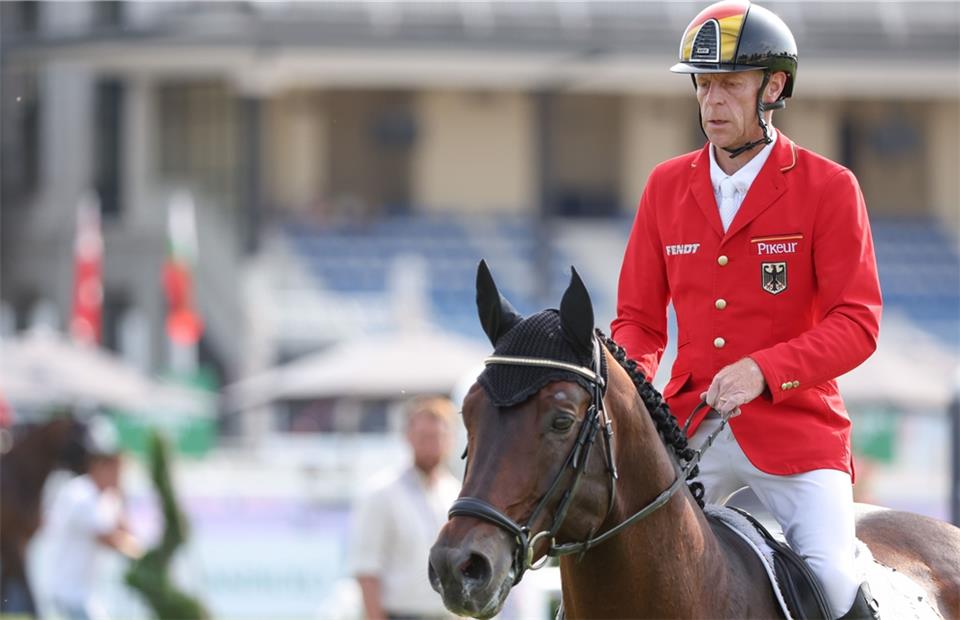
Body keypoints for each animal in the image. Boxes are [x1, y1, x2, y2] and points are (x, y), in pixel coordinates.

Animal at [0, 415, 88, 616]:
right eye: (76, 441)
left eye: (90, 438)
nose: (89, 470)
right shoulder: (11, 540)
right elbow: (28, 592)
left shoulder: (22, 542)